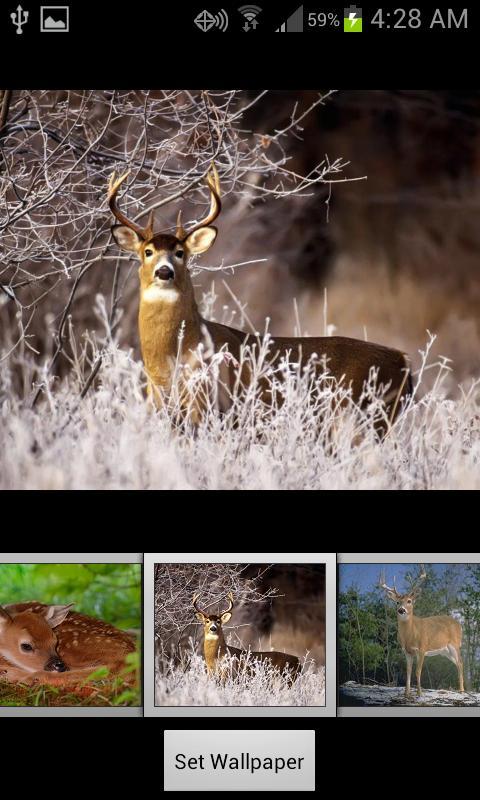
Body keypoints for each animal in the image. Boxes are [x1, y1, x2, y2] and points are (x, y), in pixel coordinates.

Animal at [108, 164, 412, 426]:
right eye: (147, 251)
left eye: (180, 253)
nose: (164, 271)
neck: (169, 361)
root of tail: (404, 362)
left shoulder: (206, 406)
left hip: (363, 418)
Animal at [380, 566, 464, 698]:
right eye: (397, 602)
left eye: (409, 601)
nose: (401, 610)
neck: (410, 635)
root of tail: (459, 624)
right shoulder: (407, 651)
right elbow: (408, 671)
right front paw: (406, 693)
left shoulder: (422, 648)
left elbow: (418, 671)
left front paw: (419, 693)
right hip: (445, 651)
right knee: (457, 663)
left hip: (455, 645)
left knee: (460, 663)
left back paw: (462, 691)